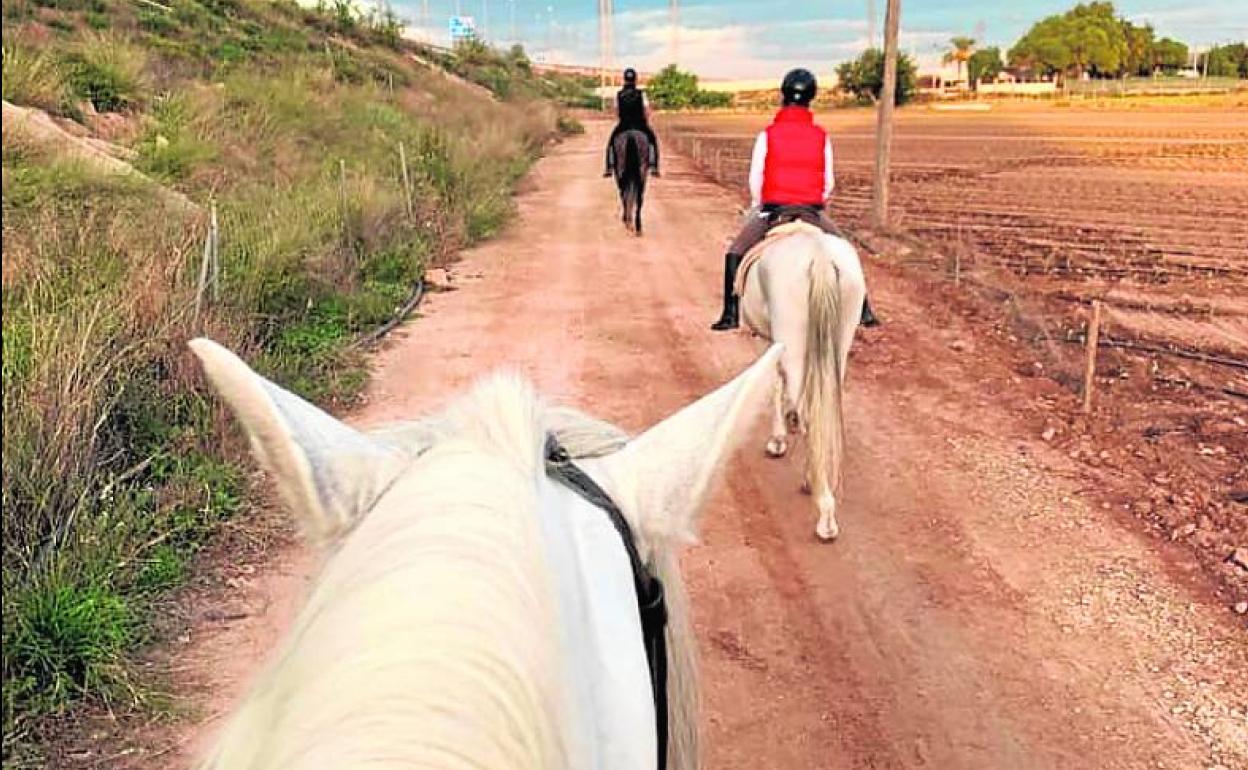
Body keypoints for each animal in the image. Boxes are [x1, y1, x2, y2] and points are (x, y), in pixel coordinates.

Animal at [737, 218, 866, 541]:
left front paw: (778, 439)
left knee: (810, 409)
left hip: (791, 335)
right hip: (839, 340)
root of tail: (819, 257)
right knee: (822, 407)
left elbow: (776, 384)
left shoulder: (772, 341)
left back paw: (822, 506)